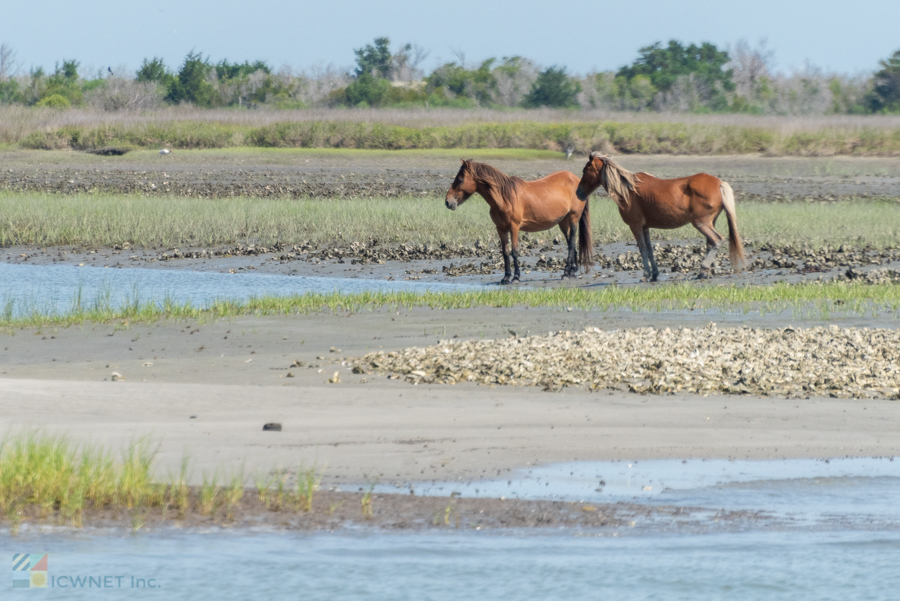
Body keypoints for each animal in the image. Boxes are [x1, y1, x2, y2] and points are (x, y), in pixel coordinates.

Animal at [444, 161, 592, 284]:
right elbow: (505, 252)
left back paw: (566, 273)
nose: (448, 202)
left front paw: (516, 277)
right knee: (570, 242)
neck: (505, 198)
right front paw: (505, 277)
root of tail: (577, 180)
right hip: (563, 222)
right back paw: (572, 271)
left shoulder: (514, 227)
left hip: (573, 218)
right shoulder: (501, 229)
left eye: (460, 179)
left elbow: (514, 251)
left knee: (571, 243)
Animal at [576, 152, 744, 278]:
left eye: (585, 170)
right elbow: (650, 249)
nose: (578, 193)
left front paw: (645, 275)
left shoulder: (635, 226)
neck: (628, 190)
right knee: (711, 244)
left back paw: (702, 271)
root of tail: (719, 183)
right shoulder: (645, 227)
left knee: (717, 240)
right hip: (710, 222)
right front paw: (654, 274)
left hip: (701, 223)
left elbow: (643, 249)